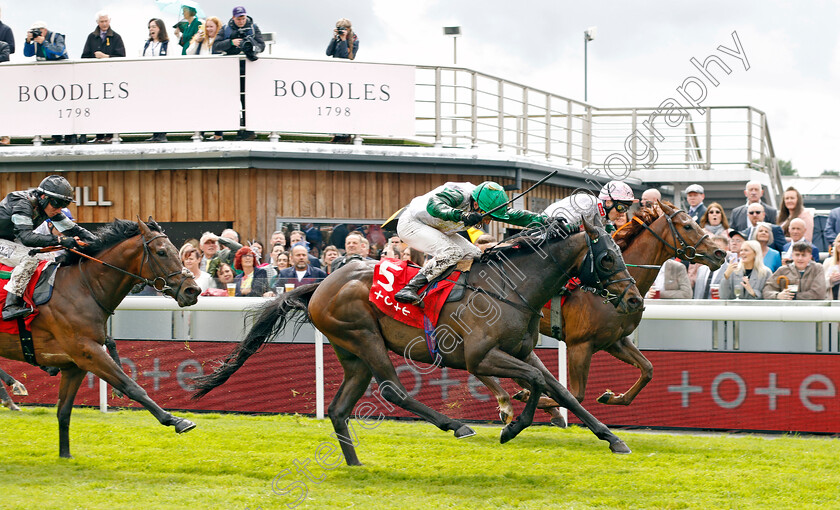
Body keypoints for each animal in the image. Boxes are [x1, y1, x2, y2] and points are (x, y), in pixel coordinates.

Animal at [0, 217, 200, 456]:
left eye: (177, 251)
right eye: (161, 252)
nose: (193, 290)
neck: (83, 288)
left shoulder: (75, 364)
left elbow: (64, 411)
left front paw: (65, 456)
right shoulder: (88, 352)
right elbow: (132, 386)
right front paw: (176, 420)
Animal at [195, 219, 644, 466]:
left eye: (622, 252)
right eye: (608, 257)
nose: (635, 299)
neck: (511, 288)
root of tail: (320, 283)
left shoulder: (521, 352)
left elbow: (556, 388)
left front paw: (611, 438)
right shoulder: (481, 358)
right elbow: (537, 384)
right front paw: (512, 425)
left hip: (352, 353)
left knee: (340, 409)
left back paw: (356, 465)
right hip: (363, 336)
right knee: (393, 389)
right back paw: (456, 425)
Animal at [486, 200, 728, 422]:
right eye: (687, 226)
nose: (720, 253)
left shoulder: (615, 341)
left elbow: (648, 369)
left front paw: (612, 396)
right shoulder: (579, 345)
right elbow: (575, 395)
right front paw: (533, 398)